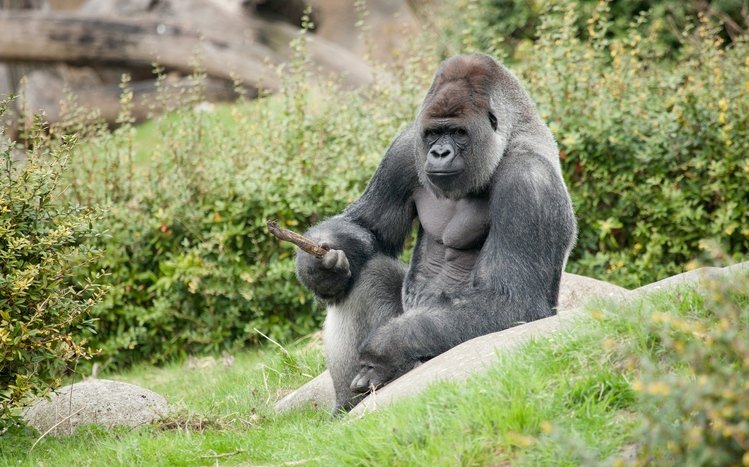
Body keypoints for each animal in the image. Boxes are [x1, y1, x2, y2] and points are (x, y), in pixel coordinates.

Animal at [295, 54, 577, 413]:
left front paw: (389, 346)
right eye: (433, 134)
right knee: (368, 273)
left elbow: (513, 301)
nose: (439, 153)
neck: (509, 136)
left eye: (458, 132)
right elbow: (367, 227)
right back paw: (347, 404)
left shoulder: (529, 182)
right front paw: (320, 268)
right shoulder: (405, 148)